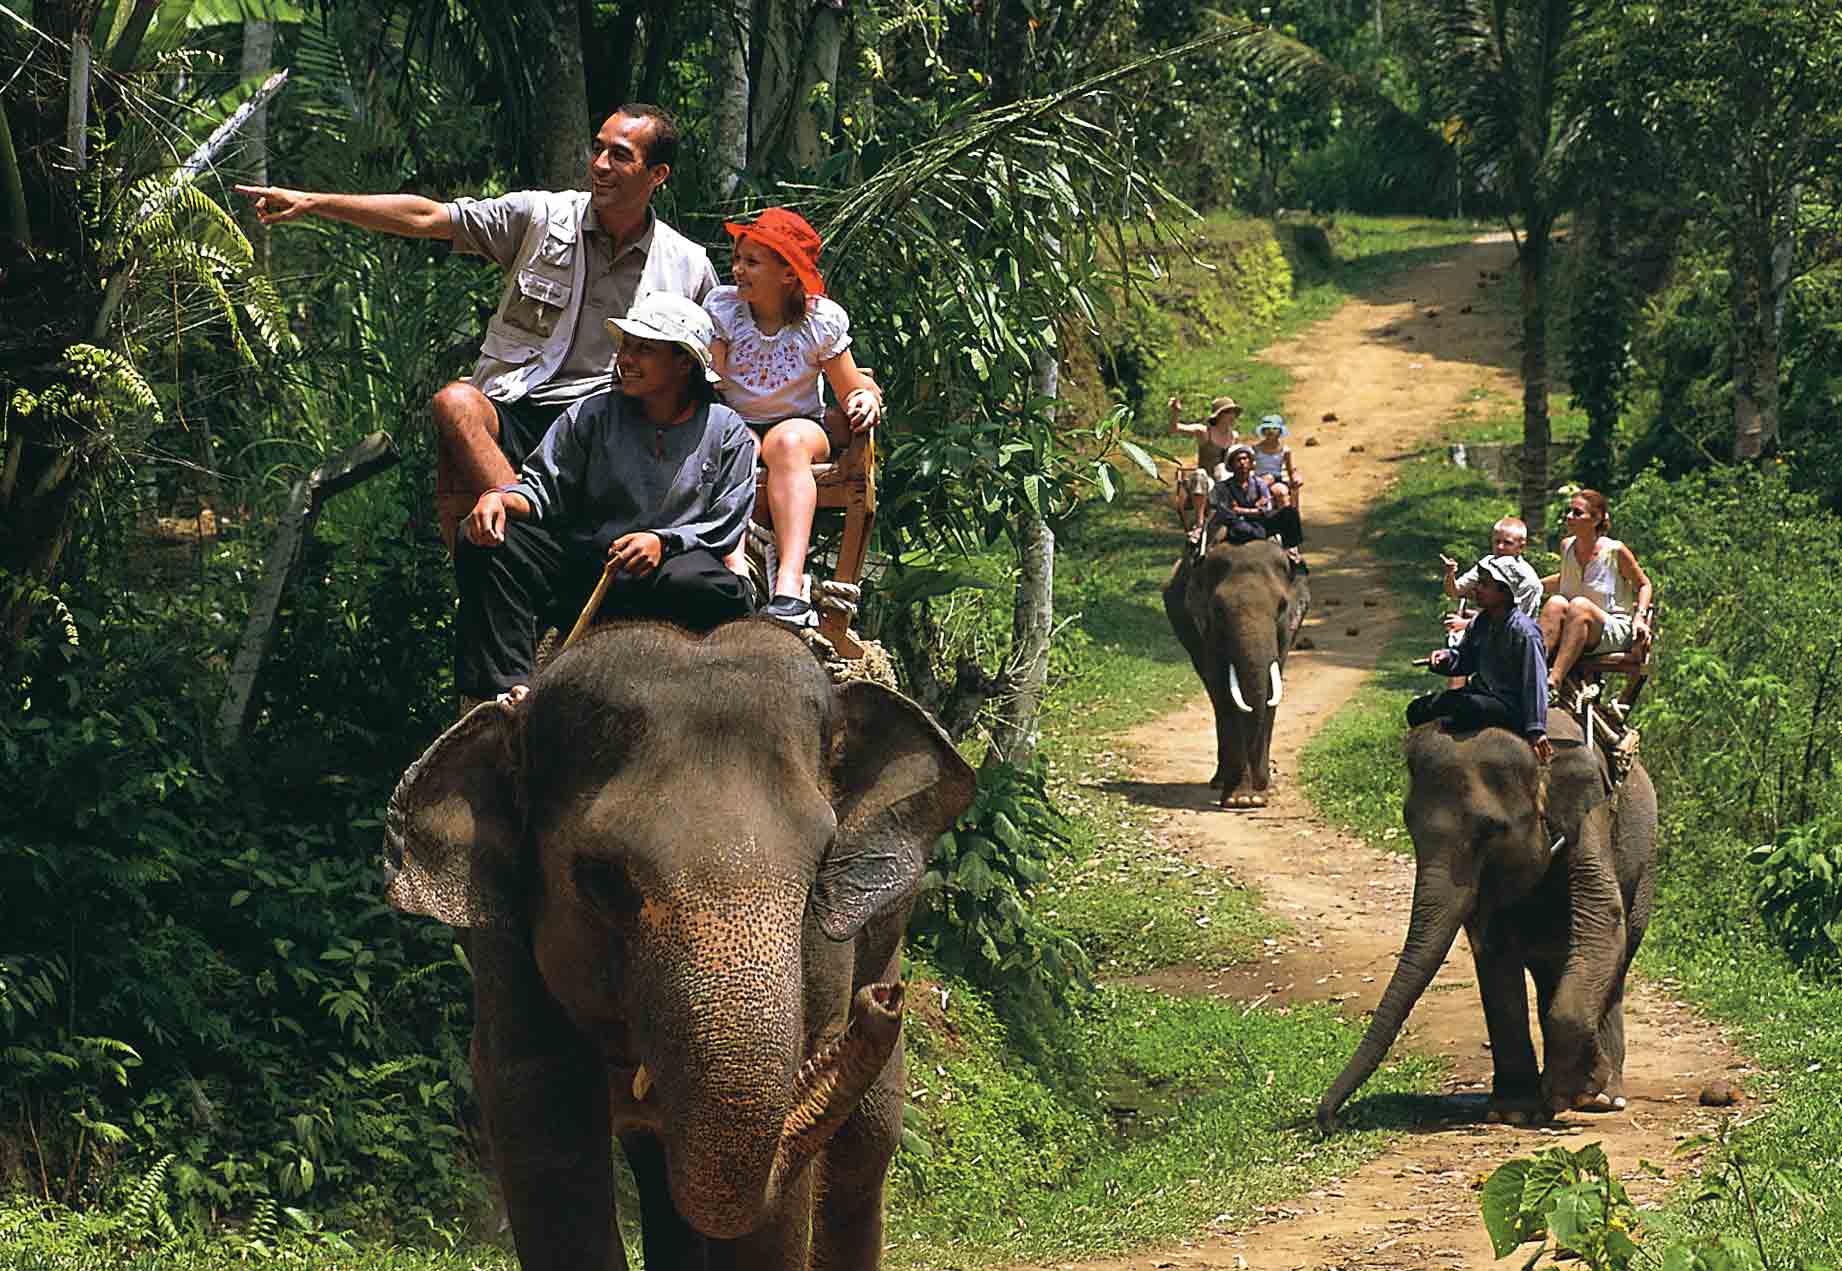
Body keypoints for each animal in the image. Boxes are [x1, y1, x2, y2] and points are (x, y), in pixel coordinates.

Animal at [381, 620, 975, 1270]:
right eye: (603, 879)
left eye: (821, 867)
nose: (883, 1002)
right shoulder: (503, 949)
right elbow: (545, 1118)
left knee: (866, 1145)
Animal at [1162, 537, 1311, 808]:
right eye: (1218, 609)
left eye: (1282, 606)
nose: (1263, 783)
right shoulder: (1204, 627)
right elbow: (1224, 689)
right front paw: (1241, 800)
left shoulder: (1287, 631)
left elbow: (1272, 690)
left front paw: (1256, 797)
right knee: (1215, 696)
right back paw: (1220, 782)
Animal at [1316, 708, 1657, 1131]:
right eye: (1410, 827)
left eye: (1492, 830)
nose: (1328, 1121)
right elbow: (1492, 948)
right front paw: (1514, 1110)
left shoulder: (1590, 817)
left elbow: (1601, 915)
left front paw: (1574, 1093)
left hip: (1644, 866)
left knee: (1616, 957)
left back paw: (1604, 1098)